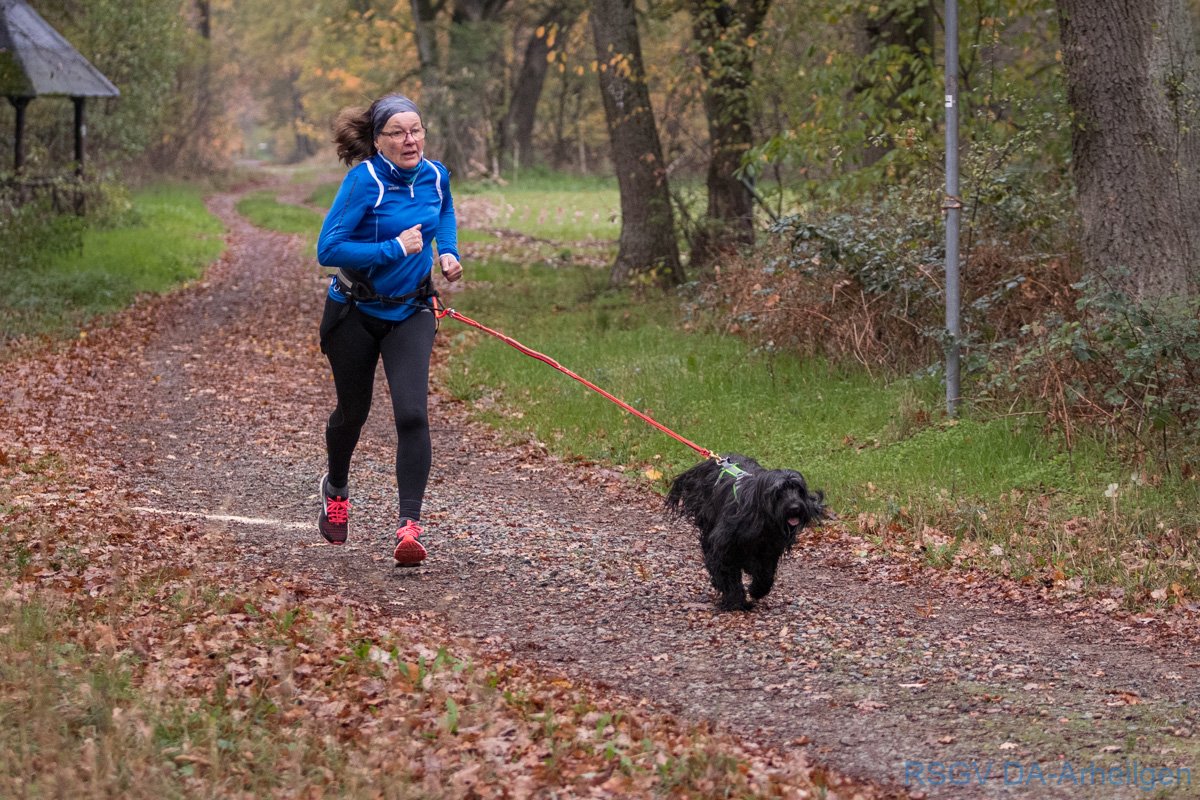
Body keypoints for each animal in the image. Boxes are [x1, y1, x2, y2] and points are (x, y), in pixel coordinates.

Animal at [666, 453, 827, 611]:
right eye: (779, 491)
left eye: (799, 490)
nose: (795, 508)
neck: (762, 519)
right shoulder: (725, 548)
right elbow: (727, 574)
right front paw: (736, 601)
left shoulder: (769, 550)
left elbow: (766, 573)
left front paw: (757, 590)